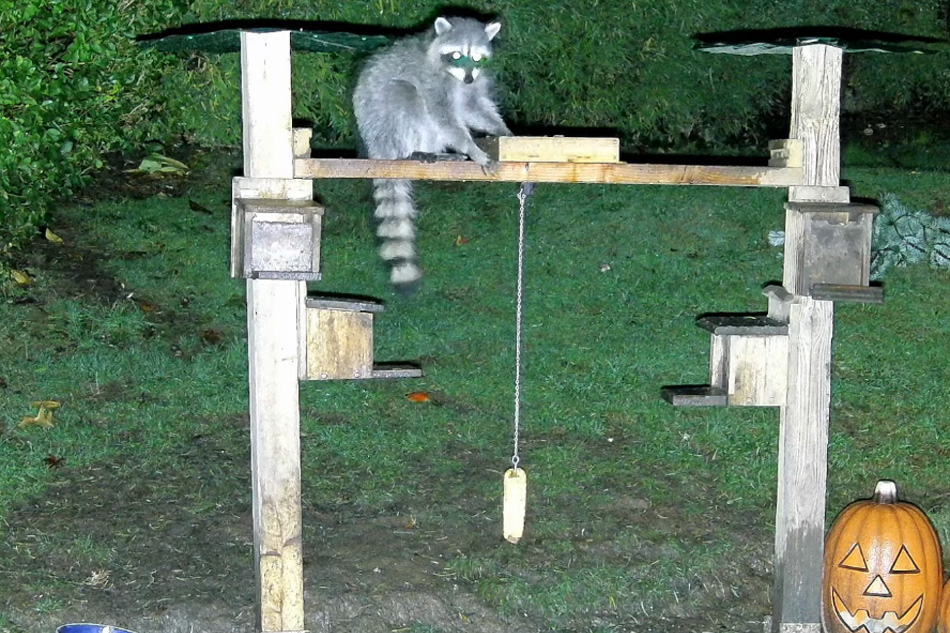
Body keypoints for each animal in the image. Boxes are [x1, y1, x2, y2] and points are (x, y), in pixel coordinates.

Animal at [353, 16, 512, 292]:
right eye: (457, 55)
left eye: (477, 57)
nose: (468, 79)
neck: (454, 76)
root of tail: (377, 150)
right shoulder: (431, 80)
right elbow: (443, 115)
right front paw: (472, 148)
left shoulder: (472, 83)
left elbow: (473, 107)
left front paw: (501, 129)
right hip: (383, 126)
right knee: (406, 96)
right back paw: (414, 152)